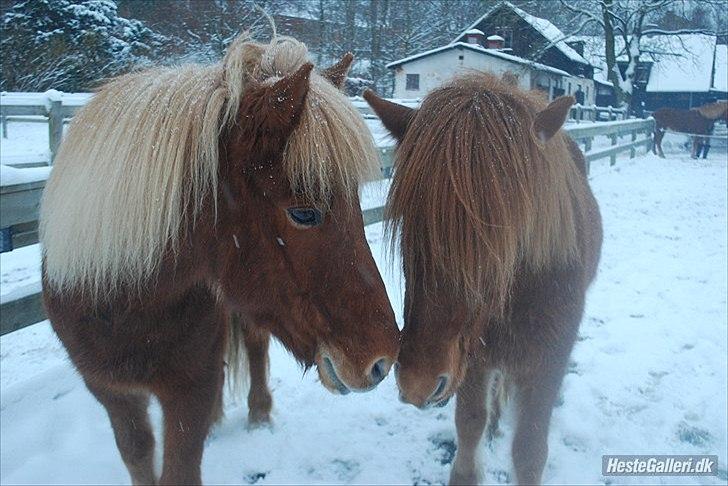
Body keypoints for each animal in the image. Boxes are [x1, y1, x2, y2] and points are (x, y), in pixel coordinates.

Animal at [39, 36, 398, 484]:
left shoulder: (191, 386)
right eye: (303, 213)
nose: (382, 360)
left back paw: (258, 412)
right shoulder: (109, 391)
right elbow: (138, 454)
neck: (122, 303)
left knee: (255, 345)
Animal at [364, 73, 604, 486]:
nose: (417, 382)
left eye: (503, 232)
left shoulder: (547, 364)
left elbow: (529, 451)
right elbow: (470, 426)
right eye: (410, 221)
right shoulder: (471, 359)